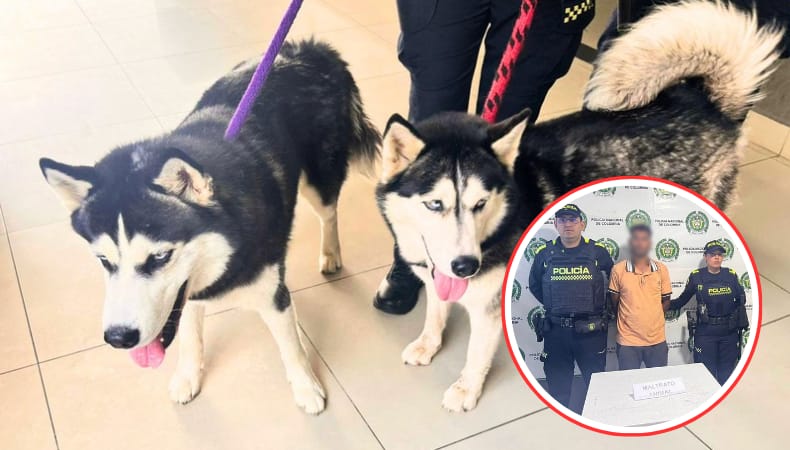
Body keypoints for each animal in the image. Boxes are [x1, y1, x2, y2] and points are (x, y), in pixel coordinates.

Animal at [39, 39, 380, 415]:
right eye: (104, 261)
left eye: (160, 257)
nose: (118, 337)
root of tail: (311, 48)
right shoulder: (186, 294)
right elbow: (190, 337)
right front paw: (187, 378)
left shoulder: (273, 295)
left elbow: (291, 346)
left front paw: (306, 388)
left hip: (319, 182)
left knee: (329, 213)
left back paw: (331, 254)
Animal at [375, 1, 783, 411]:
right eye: (434, 204)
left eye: (480, 203)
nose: (465, 266)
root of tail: (705, 103)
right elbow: (435, 312)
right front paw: (427, 345)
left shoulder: (488, 305)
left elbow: (476, 352)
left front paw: (465, 389)